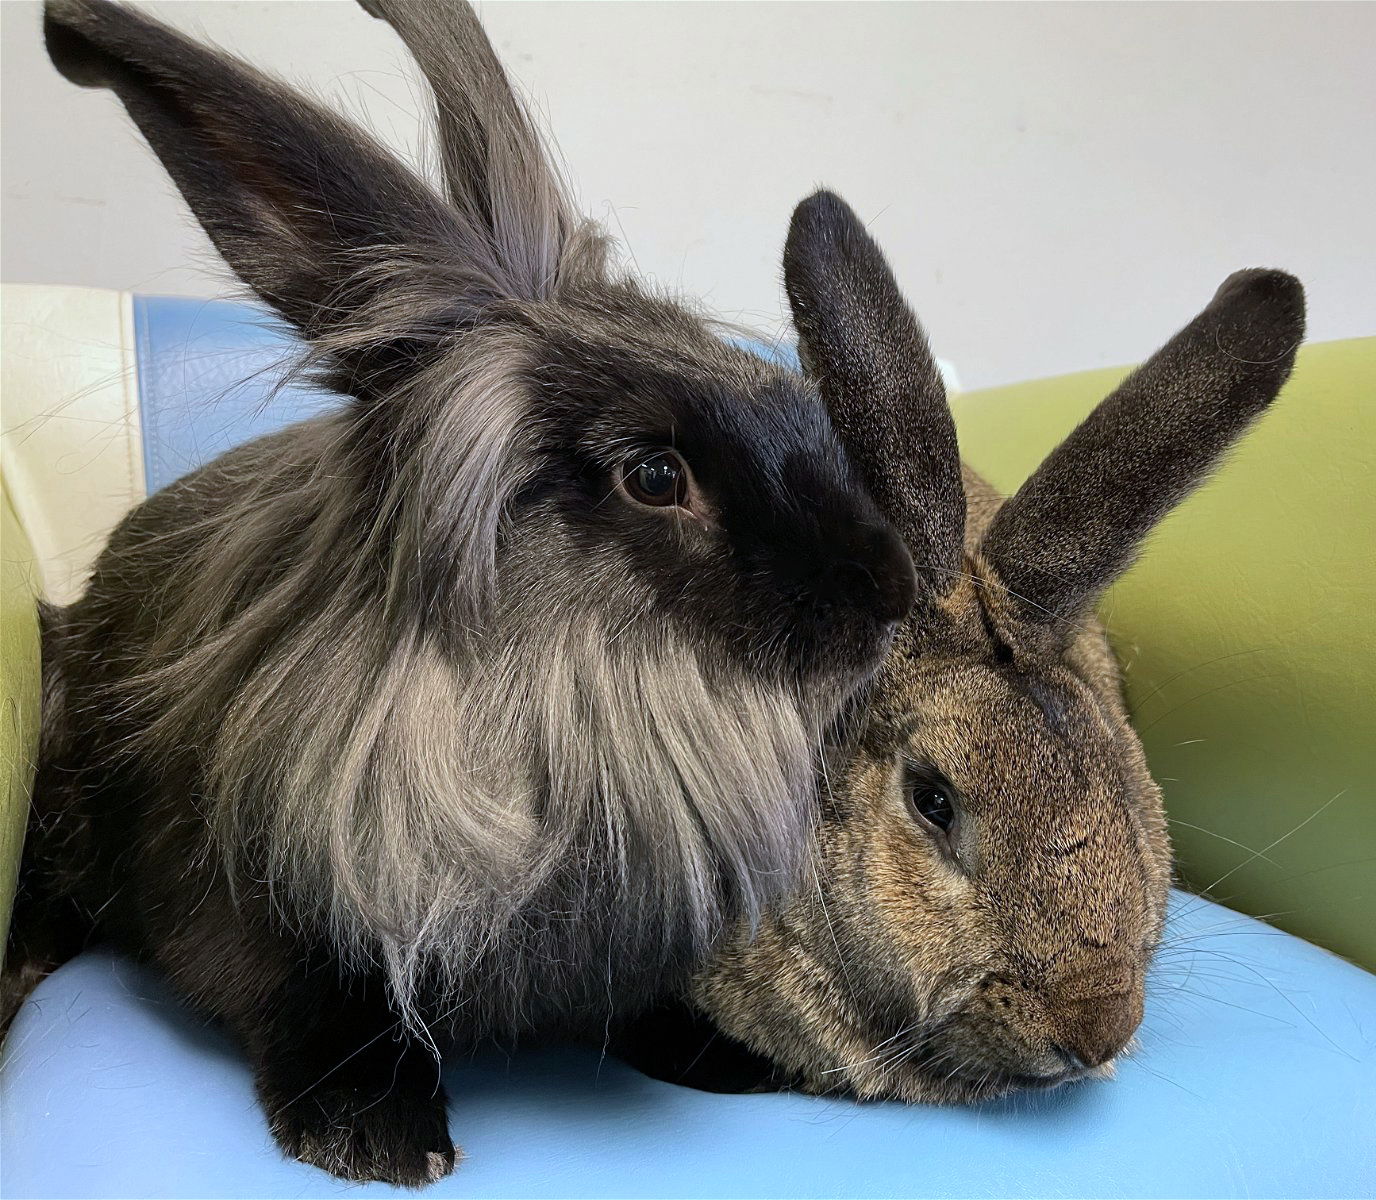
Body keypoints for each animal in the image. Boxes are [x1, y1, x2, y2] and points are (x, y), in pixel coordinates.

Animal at [8, 2, 924, 1183]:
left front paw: (734, 1058)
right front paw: (378, 1139)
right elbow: (323, 1008)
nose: (892, 593)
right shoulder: (262, 922)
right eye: (654, 476)